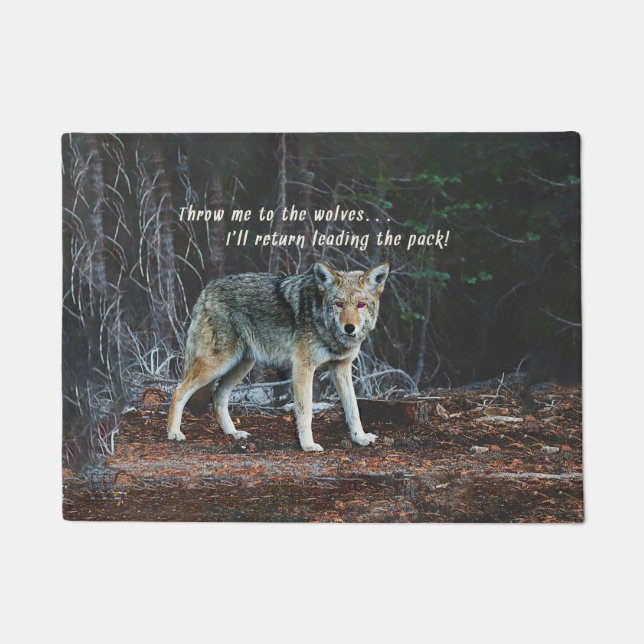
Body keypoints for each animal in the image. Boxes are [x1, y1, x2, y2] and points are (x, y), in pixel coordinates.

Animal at [166, 261, 390, 452]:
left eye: (360, 305)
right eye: (339, 304)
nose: (349, 328)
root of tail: (207, 289)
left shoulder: (341, 368)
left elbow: (353, 409)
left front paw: (360, 438)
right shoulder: (303, 367)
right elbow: (306, 411)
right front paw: (308, 445)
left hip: (241, 365)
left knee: (218, 397)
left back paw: (233, 433)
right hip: (219, 364)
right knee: (179, 391)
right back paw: (174, 433)